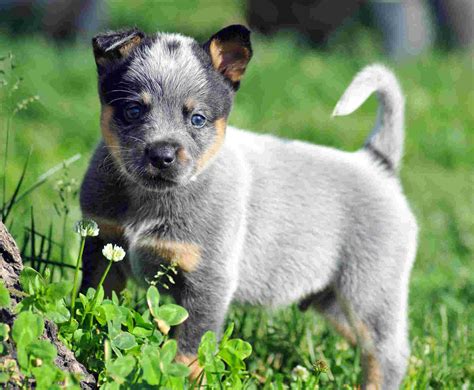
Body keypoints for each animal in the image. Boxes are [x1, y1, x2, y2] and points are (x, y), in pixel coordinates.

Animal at [81, 25, 418, 388]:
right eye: (134, 111)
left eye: (197, 119)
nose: (162, 155)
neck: (150, 200)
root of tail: (377, 163)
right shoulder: (102, 248)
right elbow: (95, 305)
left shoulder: (208, 282)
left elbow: (189, 350)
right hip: (334, 302)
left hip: (369, 292)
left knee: (388, 354)